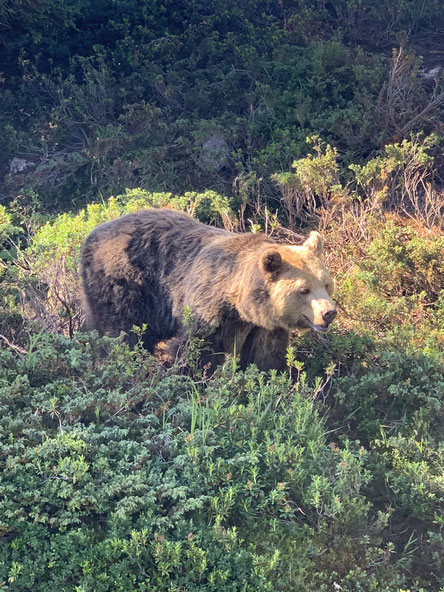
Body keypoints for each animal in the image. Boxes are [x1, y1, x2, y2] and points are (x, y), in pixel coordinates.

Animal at [80, 209, 336, 370]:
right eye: (304, 290)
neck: (241, 306)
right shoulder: (209, 309)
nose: (329, 313)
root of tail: (91, 235)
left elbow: (266, 359)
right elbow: (196, 349)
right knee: (121, 331)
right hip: (124, 283)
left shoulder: (265, 327)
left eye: (326, 284)